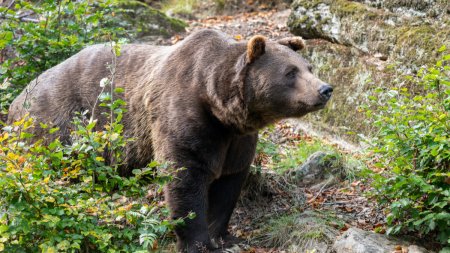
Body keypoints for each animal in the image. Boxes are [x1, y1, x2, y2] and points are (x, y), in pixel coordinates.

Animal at [5, 30, 332, 253]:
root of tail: (17, 99)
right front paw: (199, 242)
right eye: (290, 72)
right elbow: (184, 179)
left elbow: (229, 184)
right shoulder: (184, 117)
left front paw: (224, 236)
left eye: (309, 68)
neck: (222, 108)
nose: (325, 89)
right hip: (62, 125)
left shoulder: (237, 140)